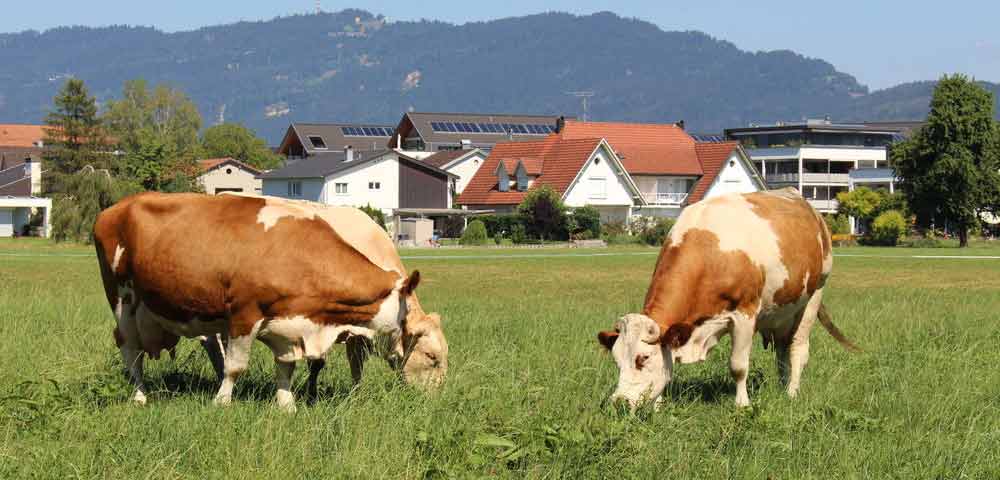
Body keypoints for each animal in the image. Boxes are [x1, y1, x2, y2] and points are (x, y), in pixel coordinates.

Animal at [94, 192, 449, 411]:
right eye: (431, 356)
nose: (436, 401)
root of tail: (115, 207)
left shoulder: (290, 322)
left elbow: (287, 366)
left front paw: (287, 403)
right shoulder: (243, 314)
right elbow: (237, 366)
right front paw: (222, 402)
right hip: (123, 300)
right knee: (130, 348)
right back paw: (140, 395)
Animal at [597, 188, 858, 409]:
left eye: (643, 358)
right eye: (616, 361)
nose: (619, 403)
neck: (710, 252)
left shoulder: (745, 314)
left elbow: (738, 366)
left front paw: (742, 405)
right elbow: (668, 366)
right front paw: (659, 405)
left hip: (814, 295)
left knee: (798, 349)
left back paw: (792, 393)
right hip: (781, 311)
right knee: (783, 351)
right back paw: (782, 387)